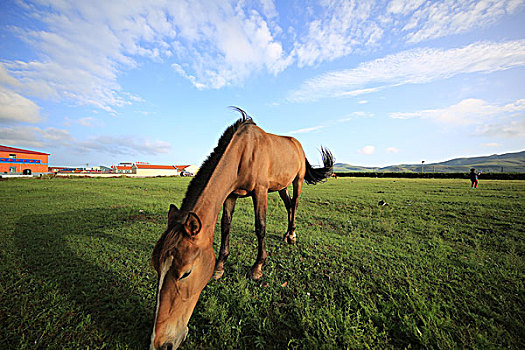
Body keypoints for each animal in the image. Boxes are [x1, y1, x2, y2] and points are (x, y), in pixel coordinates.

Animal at [149, 108, 334, 348]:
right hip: (281, 185)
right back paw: (287, 234)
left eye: (186, 273)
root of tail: (296, 143)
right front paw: (219, 267)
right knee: (288, 204)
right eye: (156, 267)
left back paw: (292, 235)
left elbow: (260, 227)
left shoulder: (261, 191)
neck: (243, 152)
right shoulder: (231, 195)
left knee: (294, 204)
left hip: (297, 181)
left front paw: (257, 267)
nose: (161, 342)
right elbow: (225, 227)